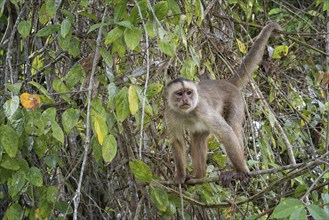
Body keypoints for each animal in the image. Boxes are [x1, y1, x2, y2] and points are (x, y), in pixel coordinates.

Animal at [164, 22, 280, 185]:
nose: (186, 100)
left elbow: (226, 132)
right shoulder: (169, 113)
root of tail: (226, 82)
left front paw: (241, 171)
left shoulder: (201, 108)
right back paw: (199, 176)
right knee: (198, 138)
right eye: (180, 94)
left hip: (236, 99)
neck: (186, 112)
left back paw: (235, 170)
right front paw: (180, 176)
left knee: (233, 125)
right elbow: (177, 140)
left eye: (189, 92)